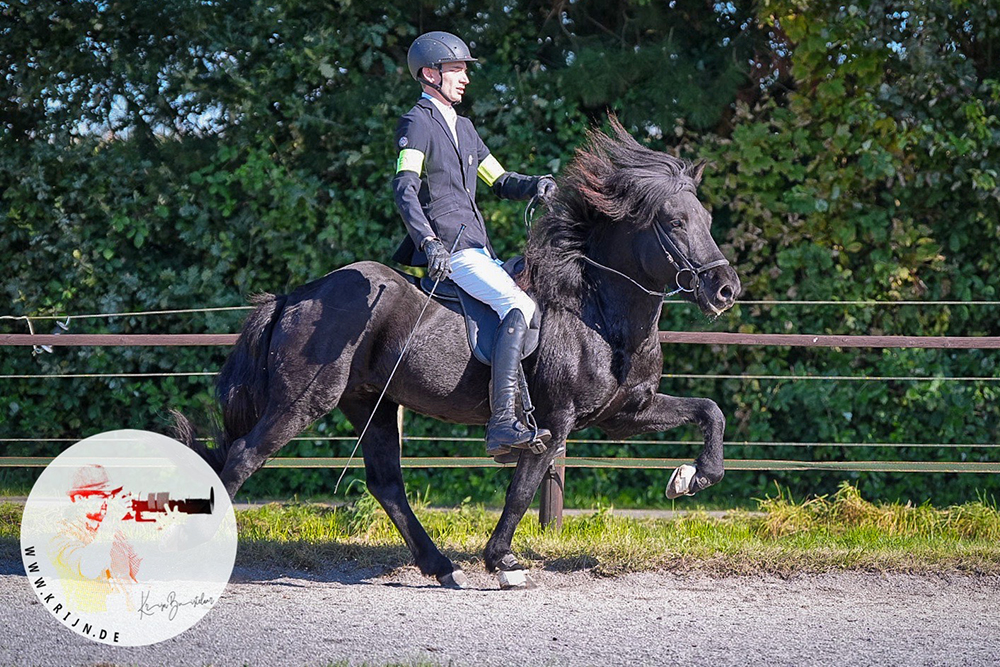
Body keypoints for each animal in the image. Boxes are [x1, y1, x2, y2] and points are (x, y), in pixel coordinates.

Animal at [172, 117, 740, 588]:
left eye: (708, 219)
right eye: (673, 222)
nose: (725, 289)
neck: (596, 311)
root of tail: (298, 295)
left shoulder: (625, 412)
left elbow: (710, 412)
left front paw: (692, 478)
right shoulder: (553, 420)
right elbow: (521, 489)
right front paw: (502, 560)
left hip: (370, 402)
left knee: (386, 483)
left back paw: (441, 566)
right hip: (304, 402)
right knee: (244, 458)